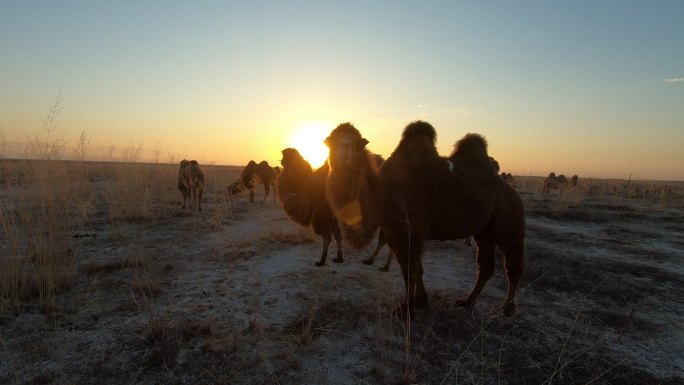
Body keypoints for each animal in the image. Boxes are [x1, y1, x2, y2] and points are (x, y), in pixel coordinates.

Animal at [324, 121, 528, 316]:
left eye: (358, 142)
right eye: (330, 141)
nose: (343, 149)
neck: (382, 194)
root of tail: (512, 192)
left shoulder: (411, 231)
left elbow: (410, 270)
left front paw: (405, 310)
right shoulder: (394, 233)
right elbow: (416, 269)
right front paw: (420, 302)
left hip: (510, 220)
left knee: (513, 264)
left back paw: (507, 308)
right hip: (484, 232)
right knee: (485, 266)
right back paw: (467, 302)